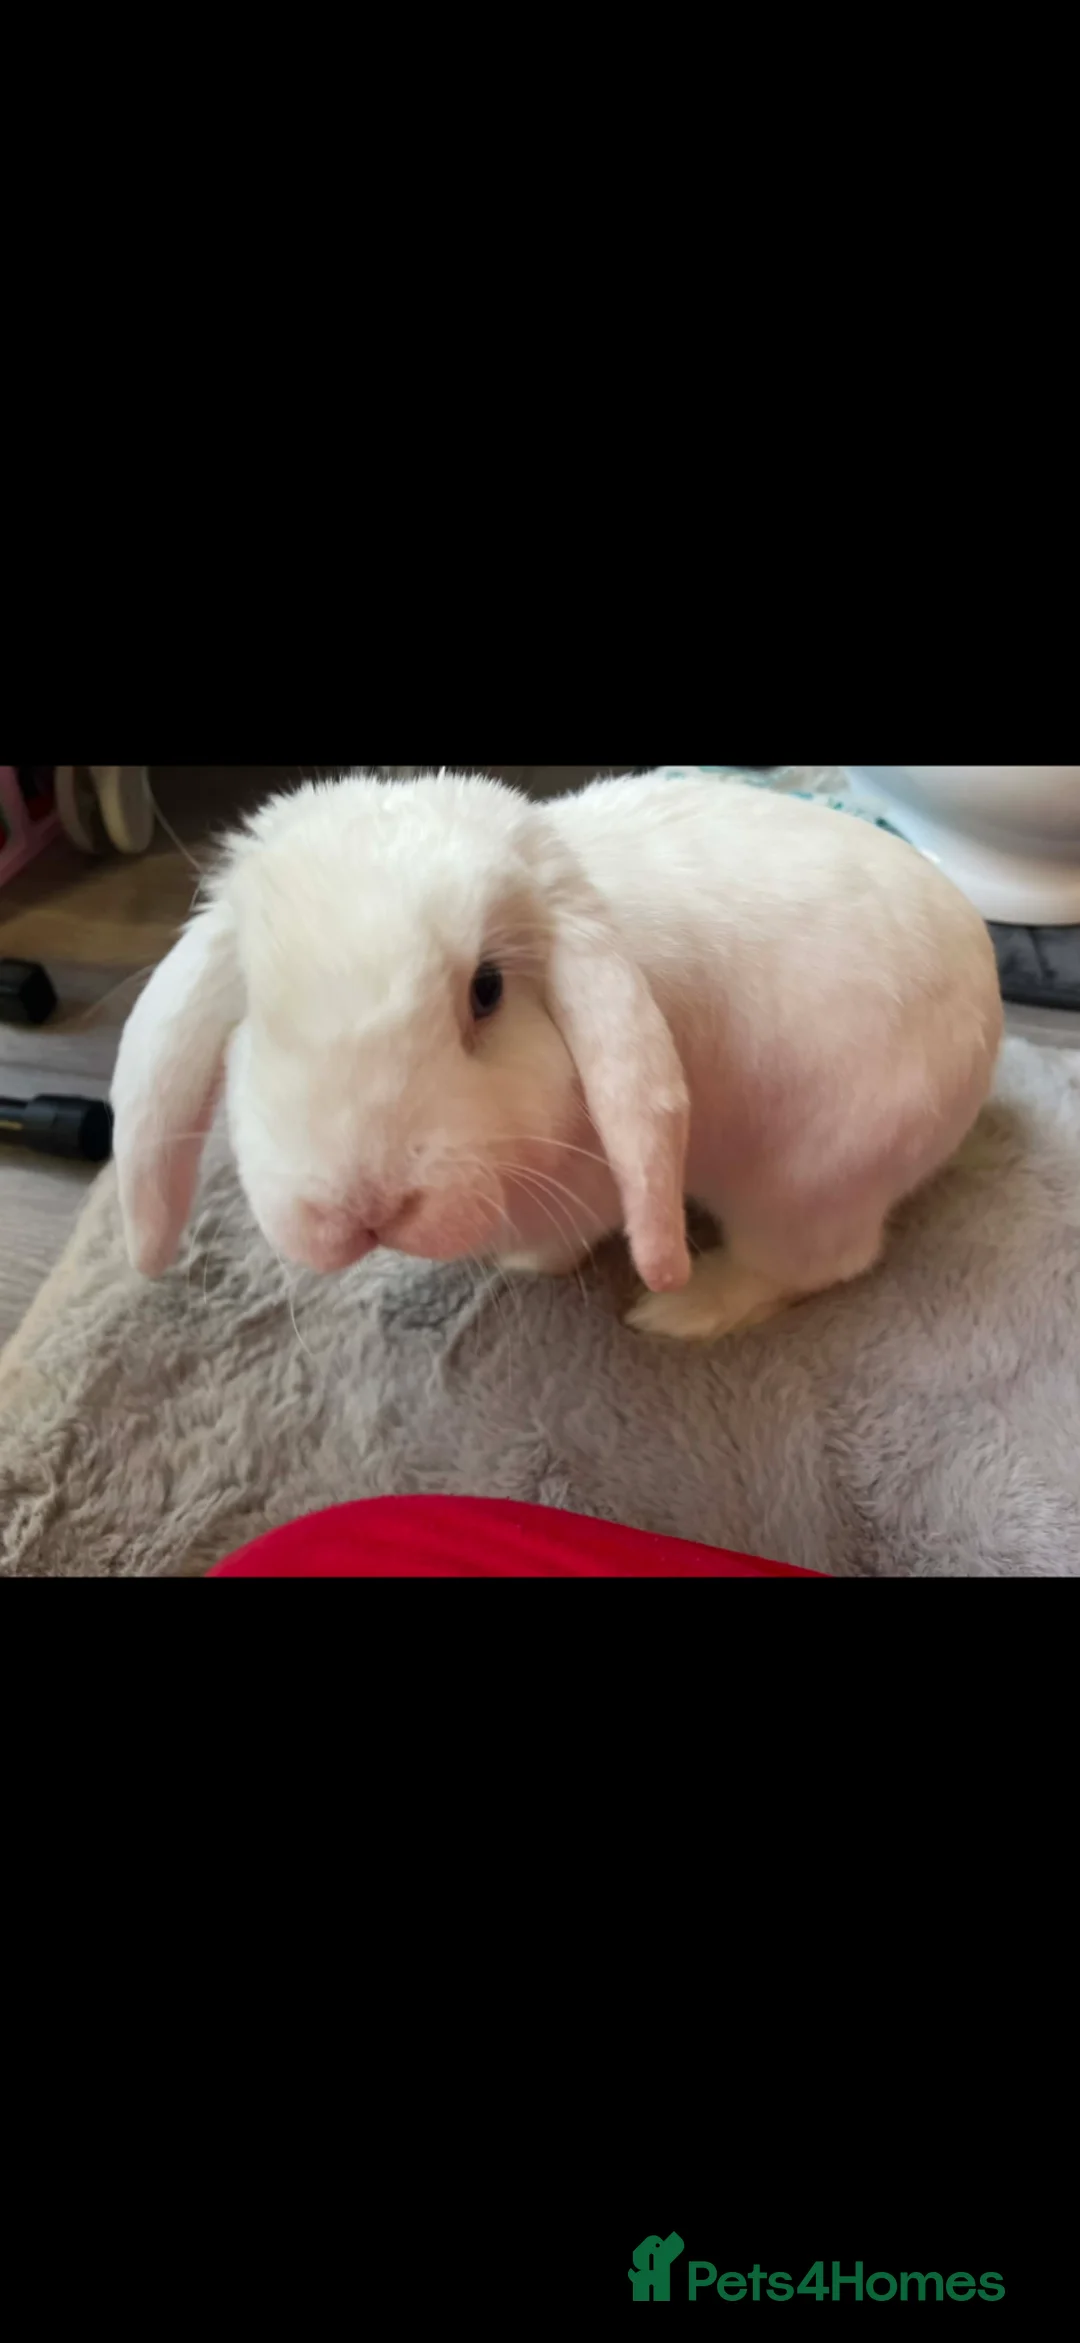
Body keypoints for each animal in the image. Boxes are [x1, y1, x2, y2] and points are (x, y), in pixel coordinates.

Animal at [111, 770, 1004, 1344]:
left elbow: (550, 1246)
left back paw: (682, 1312)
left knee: (815, 1266)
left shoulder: (587, 1187)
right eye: (258, 1006)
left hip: (806, 1183)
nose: (364, 1207)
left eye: (487, 989)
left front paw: (513, 1262)